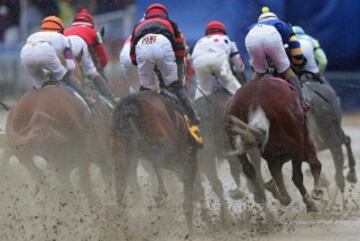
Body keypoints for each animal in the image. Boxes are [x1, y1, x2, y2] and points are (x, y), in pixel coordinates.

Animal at [111, 90, 198, 232]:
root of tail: (130, 107)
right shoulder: (187, 161)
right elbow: (188, 201)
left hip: (122, 157)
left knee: (120, 188)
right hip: (170, 152)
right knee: (157, 160)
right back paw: (161, 193)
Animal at [225, 75, 324, 211]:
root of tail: (256, 102)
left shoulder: (273, 155)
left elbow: (278, 178)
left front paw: (272, 189)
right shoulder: (302, 145)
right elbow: (314, 165)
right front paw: (315, 195)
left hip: (235, 140)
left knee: (249, 169)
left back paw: (260, 195)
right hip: (297, 145)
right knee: (298, 175)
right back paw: (310, 202)